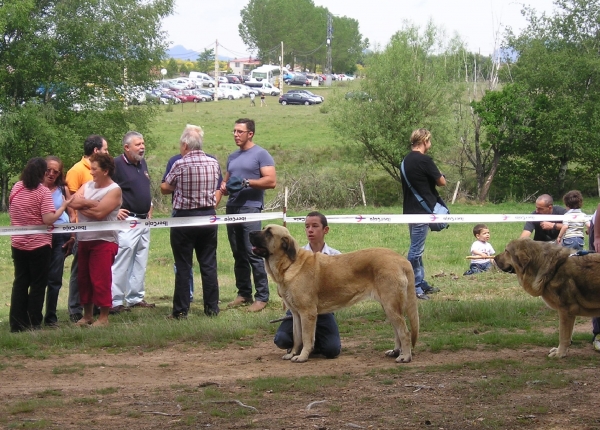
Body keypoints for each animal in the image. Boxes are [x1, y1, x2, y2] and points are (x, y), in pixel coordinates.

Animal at [247, 225, 418, 362]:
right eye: (264, 229)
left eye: (268, 232)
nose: (250, 233)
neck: (288, 264)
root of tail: (402, 260)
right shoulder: (296, 314)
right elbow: (297, 337)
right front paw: (292, 354)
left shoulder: (307, 313)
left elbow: (307, 338)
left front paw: (302, 356)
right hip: (388, 307)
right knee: (397, 331)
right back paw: (395, 351)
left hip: (391, 305)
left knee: (405, 332)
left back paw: (405, 356)